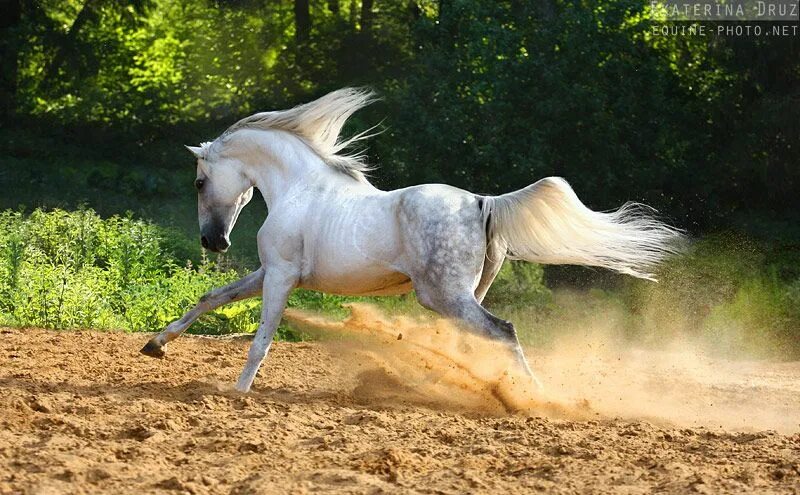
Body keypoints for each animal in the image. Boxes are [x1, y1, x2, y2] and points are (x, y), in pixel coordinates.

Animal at [141, 87, 684, 394]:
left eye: (199, 182)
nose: (213, 242)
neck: (299, 187)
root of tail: (483, 202)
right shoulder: (268, 272)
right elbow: (211, 298)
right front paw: (155, 346)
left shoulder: (280, 277)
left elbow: (261, 339)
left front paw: (236, 391)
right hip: (459, 295)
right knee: (475, 342)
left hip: (444, 295)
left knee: (504, 333)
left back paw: (534, 399)